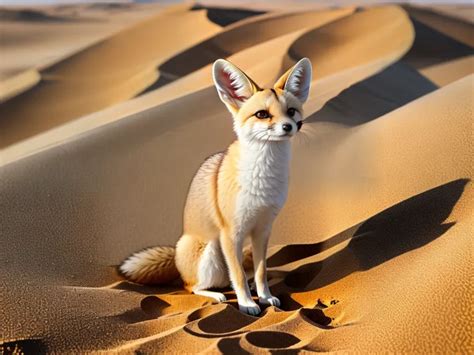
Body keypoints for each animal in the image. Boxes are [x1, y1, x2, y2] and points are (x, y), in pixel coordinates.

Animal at [119, 58, 312, 318]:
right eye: (262, 114)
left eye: (291, 111)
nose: (289, 126)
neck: (263, 178)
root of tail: (177, 255)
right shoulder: (231, 232)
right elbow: (238, 276)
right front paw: (247, 304)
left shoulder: (263, 230)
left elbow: (260, 272)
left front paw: (265, 297)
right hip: (211, 251)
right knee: (192, 286)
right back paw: (216, 295)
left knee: (227, 279)